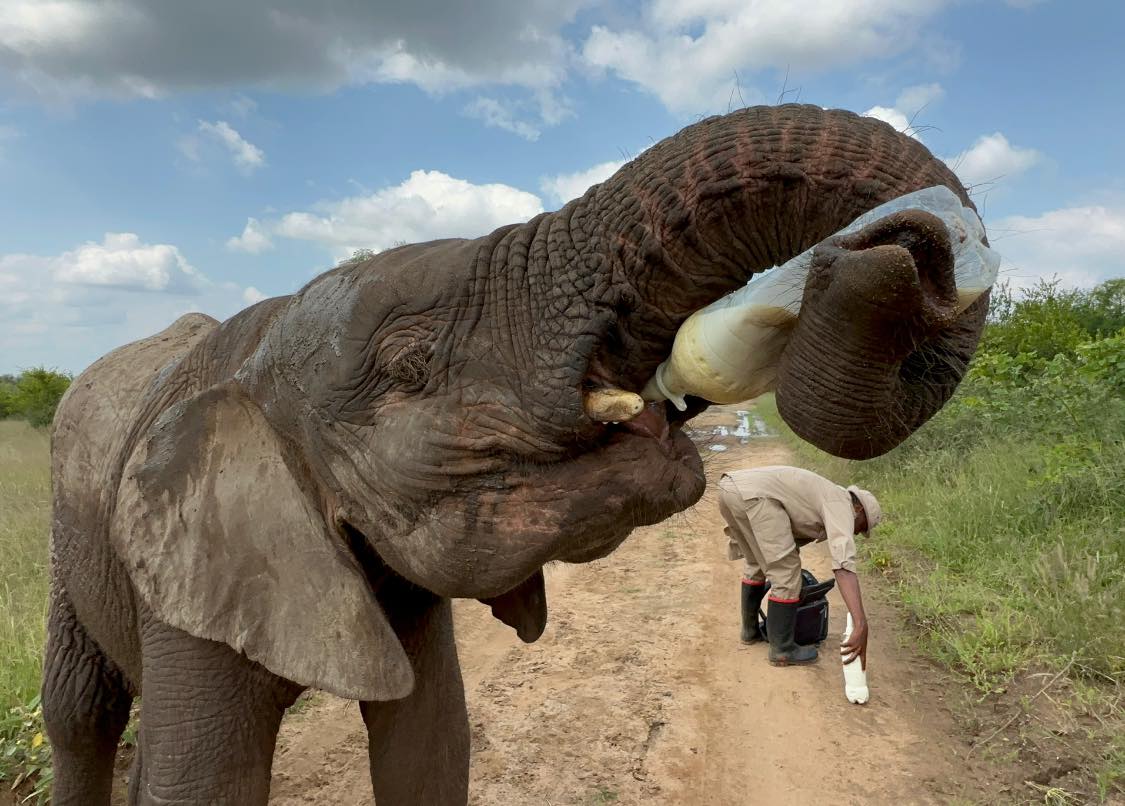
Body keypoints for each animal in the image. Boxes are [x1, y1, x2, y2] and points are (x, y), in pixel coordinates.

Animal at [46, 104, 994, 801]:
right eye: (407, 366)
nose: (898, 244)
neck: (255, 349)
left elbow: (431, 749)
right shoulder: (188, 567)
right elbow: (202, 781)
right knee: (79, 714)